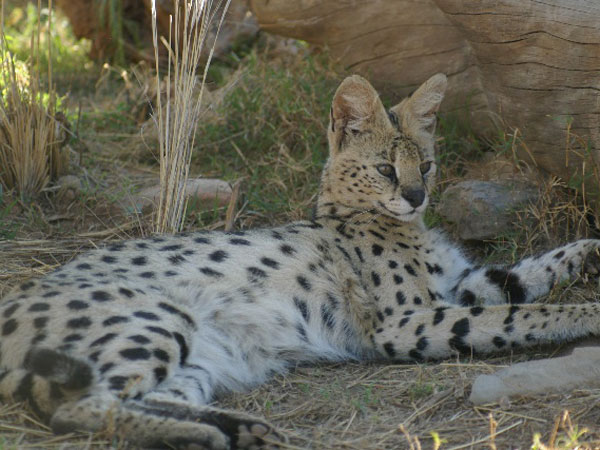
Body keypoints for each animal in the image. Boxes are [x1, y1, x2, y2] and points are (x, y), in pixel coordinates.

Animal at [1, 74, 600, 446]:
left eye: (426, 165)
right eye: (386, 169)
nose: (416, 196)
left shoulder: (461, 285)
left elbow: (523, 277)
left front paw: (590, 251)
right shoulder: (402, 322)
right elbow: (519, 315)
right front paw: (586, 314)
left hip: (193, 360)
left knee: (137, 399)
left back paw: (236, 428)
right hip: (154, 320)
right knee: (75, 409)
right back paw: (210, 432)